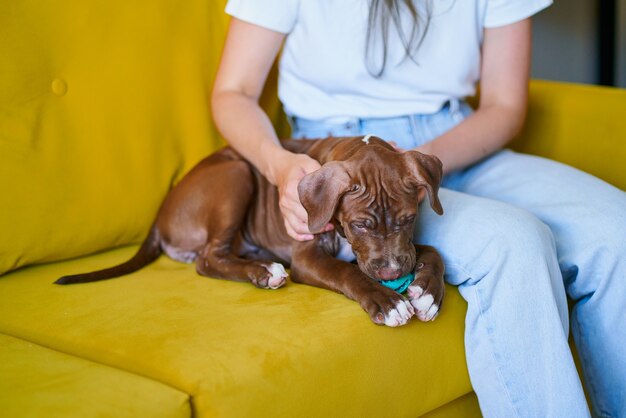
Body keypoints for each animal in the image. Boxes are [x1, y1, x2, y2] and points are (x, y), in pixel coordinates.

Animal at [56, 136, 442, 326]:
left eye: (409, 218)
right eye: (360, 225)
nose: (392, 273)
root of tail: (160, 213)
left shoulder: (406, 246)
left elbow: (432, 252)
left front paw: (427, 292)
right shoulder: (307, 256)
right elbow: (347, 273)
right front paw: (386, 301)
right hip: (236, 174)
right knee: (208, 259)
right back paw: (264, 272)